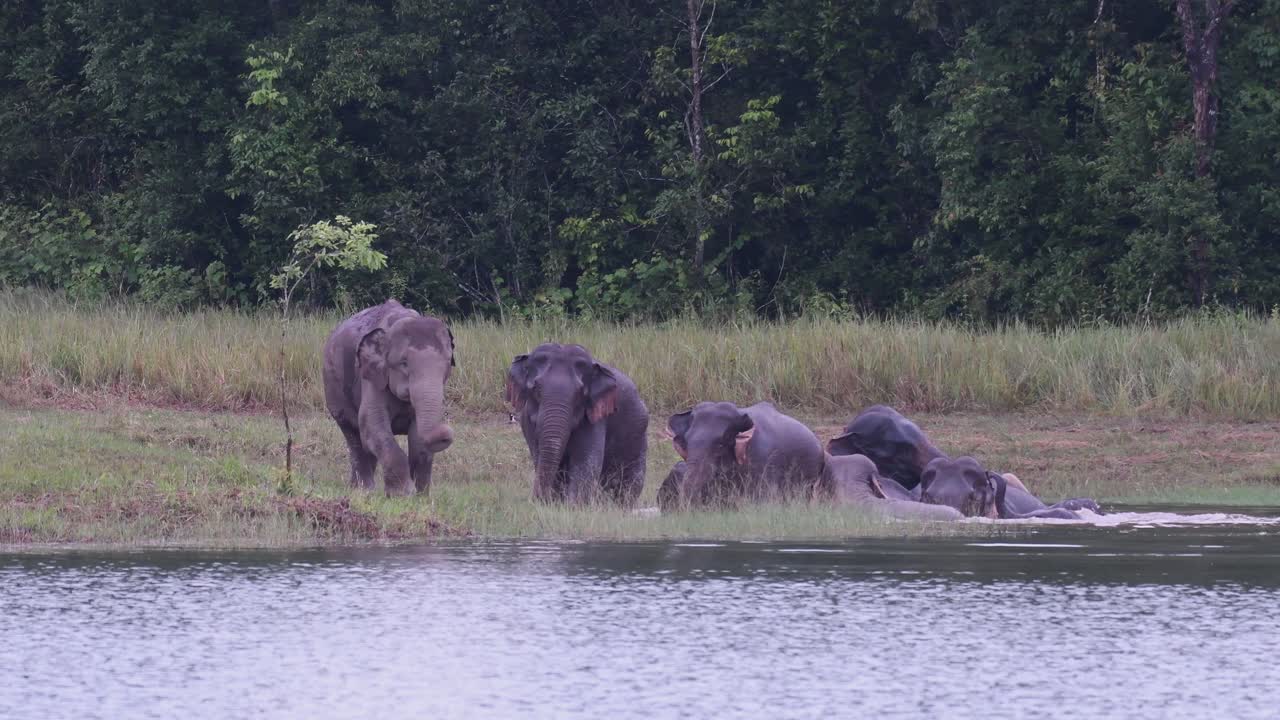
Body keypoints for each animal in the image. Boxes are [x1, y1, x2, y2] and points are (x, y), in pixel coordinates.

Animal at [322, 299, 455, 496]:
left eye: (447, 363)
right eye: (404, 363)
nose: (446, 433)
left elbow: (417, 439)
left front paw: (421, 496)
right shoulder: (372, 376)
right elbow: (372, 424)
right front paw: (402, 495)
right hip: (333, 388)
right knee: (354, 435)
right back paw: (364, 490)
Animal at [506, 343, 648, 505]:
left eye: (580, 393)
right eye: (536, 387)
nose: (536, 499)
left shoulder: (594, 418)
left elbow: (586, 462)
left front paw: (572, 506)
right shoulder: (527, 420)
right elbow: (539, 455)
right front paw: (554, 503)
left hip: (639, 435)